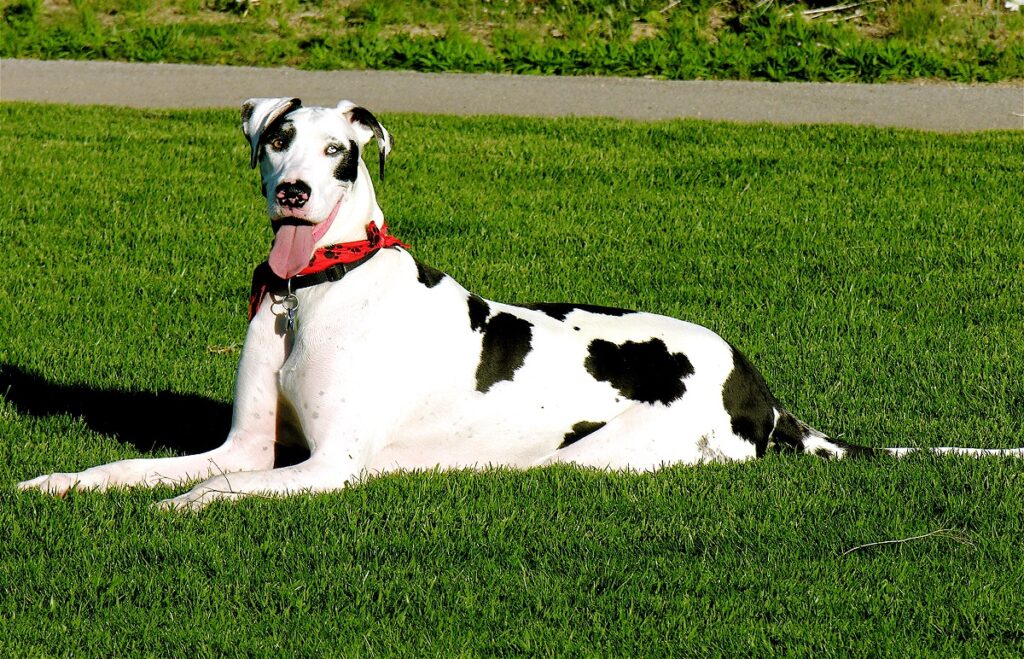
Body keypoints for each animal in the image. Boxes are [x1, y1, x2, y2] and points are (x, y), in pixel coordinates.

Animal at [18, 99, 1024, 509]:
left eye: (342, 151)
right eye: (278, 137)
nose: (297, 191)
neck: (320, 289)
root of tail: (763, 393)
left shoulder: (329, 466)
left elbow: (218, 489)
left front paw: (182, 505)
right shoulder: (246, 443)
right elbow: (142, 468)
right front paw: (63, 483)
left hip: (600, 458)